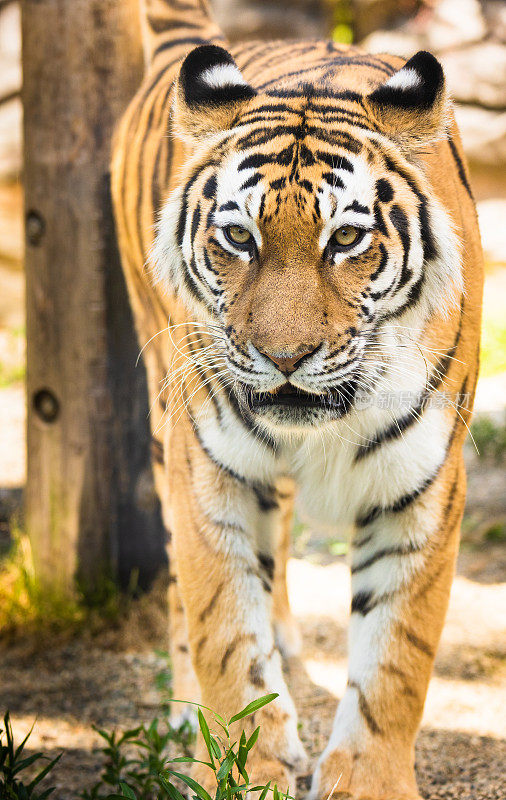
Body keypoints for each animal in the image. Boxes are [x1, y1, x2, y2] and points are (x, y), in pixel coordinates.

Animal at [110, 0, 482, 796]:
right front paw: (247, 768)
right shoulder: (209, 471)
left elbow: (395, 659)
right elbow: (225, 633)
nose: (284, 359)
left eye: (344, 239)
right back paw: (187, 712)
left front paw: (369, 781)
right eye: (237, 237)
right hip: (165, 421)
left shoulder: (422, 488)